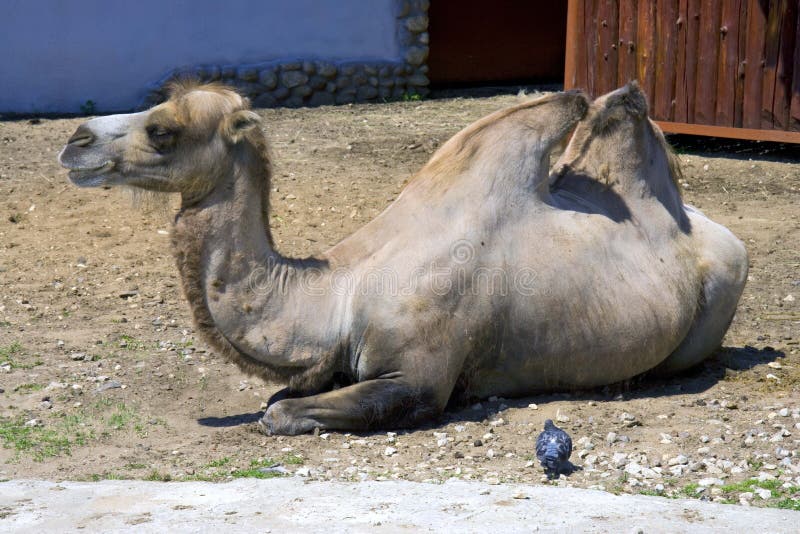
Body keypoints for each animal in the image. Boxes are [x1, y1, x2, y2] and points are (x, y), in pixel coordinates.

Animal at [57, 82, 752, 436]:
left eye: (163, 131)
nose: (75, 140)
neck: (339, 292)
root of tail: (722, 232)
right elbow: (284, 390)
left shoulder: (419, 377)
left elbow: (278, 411)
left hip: (722, 290)